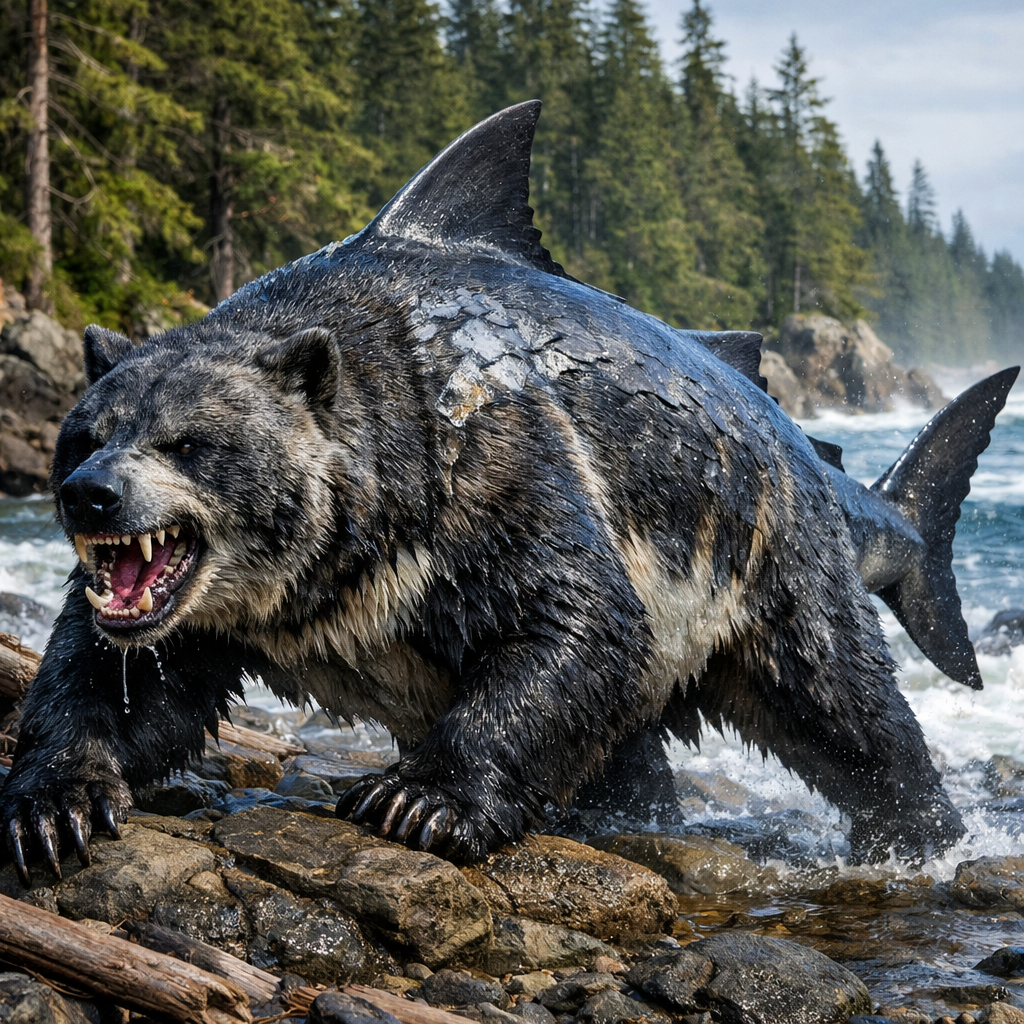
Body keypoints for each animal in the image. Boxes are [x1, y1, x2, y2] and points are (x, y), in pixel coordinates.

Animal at [1, 102, 965, 884]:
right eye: (84, 434)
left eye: (188, 441)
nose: (91, 495)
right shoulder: (202, 617)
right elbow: (122, 678)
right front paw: (55, 800)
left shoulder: (499, 467)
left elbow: (574, 620)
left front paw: (422, 798)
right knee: (634, 752)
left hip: (775, 555)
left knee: (847, 707)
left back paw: (923, 836)